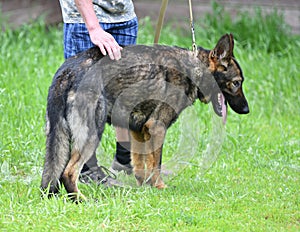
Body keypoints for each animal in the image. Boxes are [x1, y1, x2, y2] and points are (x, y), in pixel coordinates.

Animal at [41, 33, 250, 200]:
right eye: (236, 83)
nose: (247, 110)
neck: (194, 69)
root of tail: (68, 71)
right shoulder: (157, 127)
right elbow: (156, 163)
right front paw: (160, 187)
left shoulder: (138, 131)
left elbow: (141, 163)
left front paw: (144, 187)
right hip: (92, 134)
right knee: (68, 172)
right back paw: (81, 199)